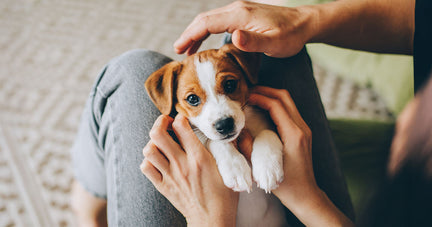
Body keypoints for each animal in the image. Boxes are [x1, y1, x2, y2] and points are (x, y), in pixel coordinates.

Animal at [144, 43, 286, 226]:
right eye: (192, 99)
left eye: (230, 84)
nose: (224, 125)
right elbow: (214, 141)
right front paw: (235, 168)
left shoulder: (267, 123)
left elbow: (267, 132)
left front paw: (268, 167)